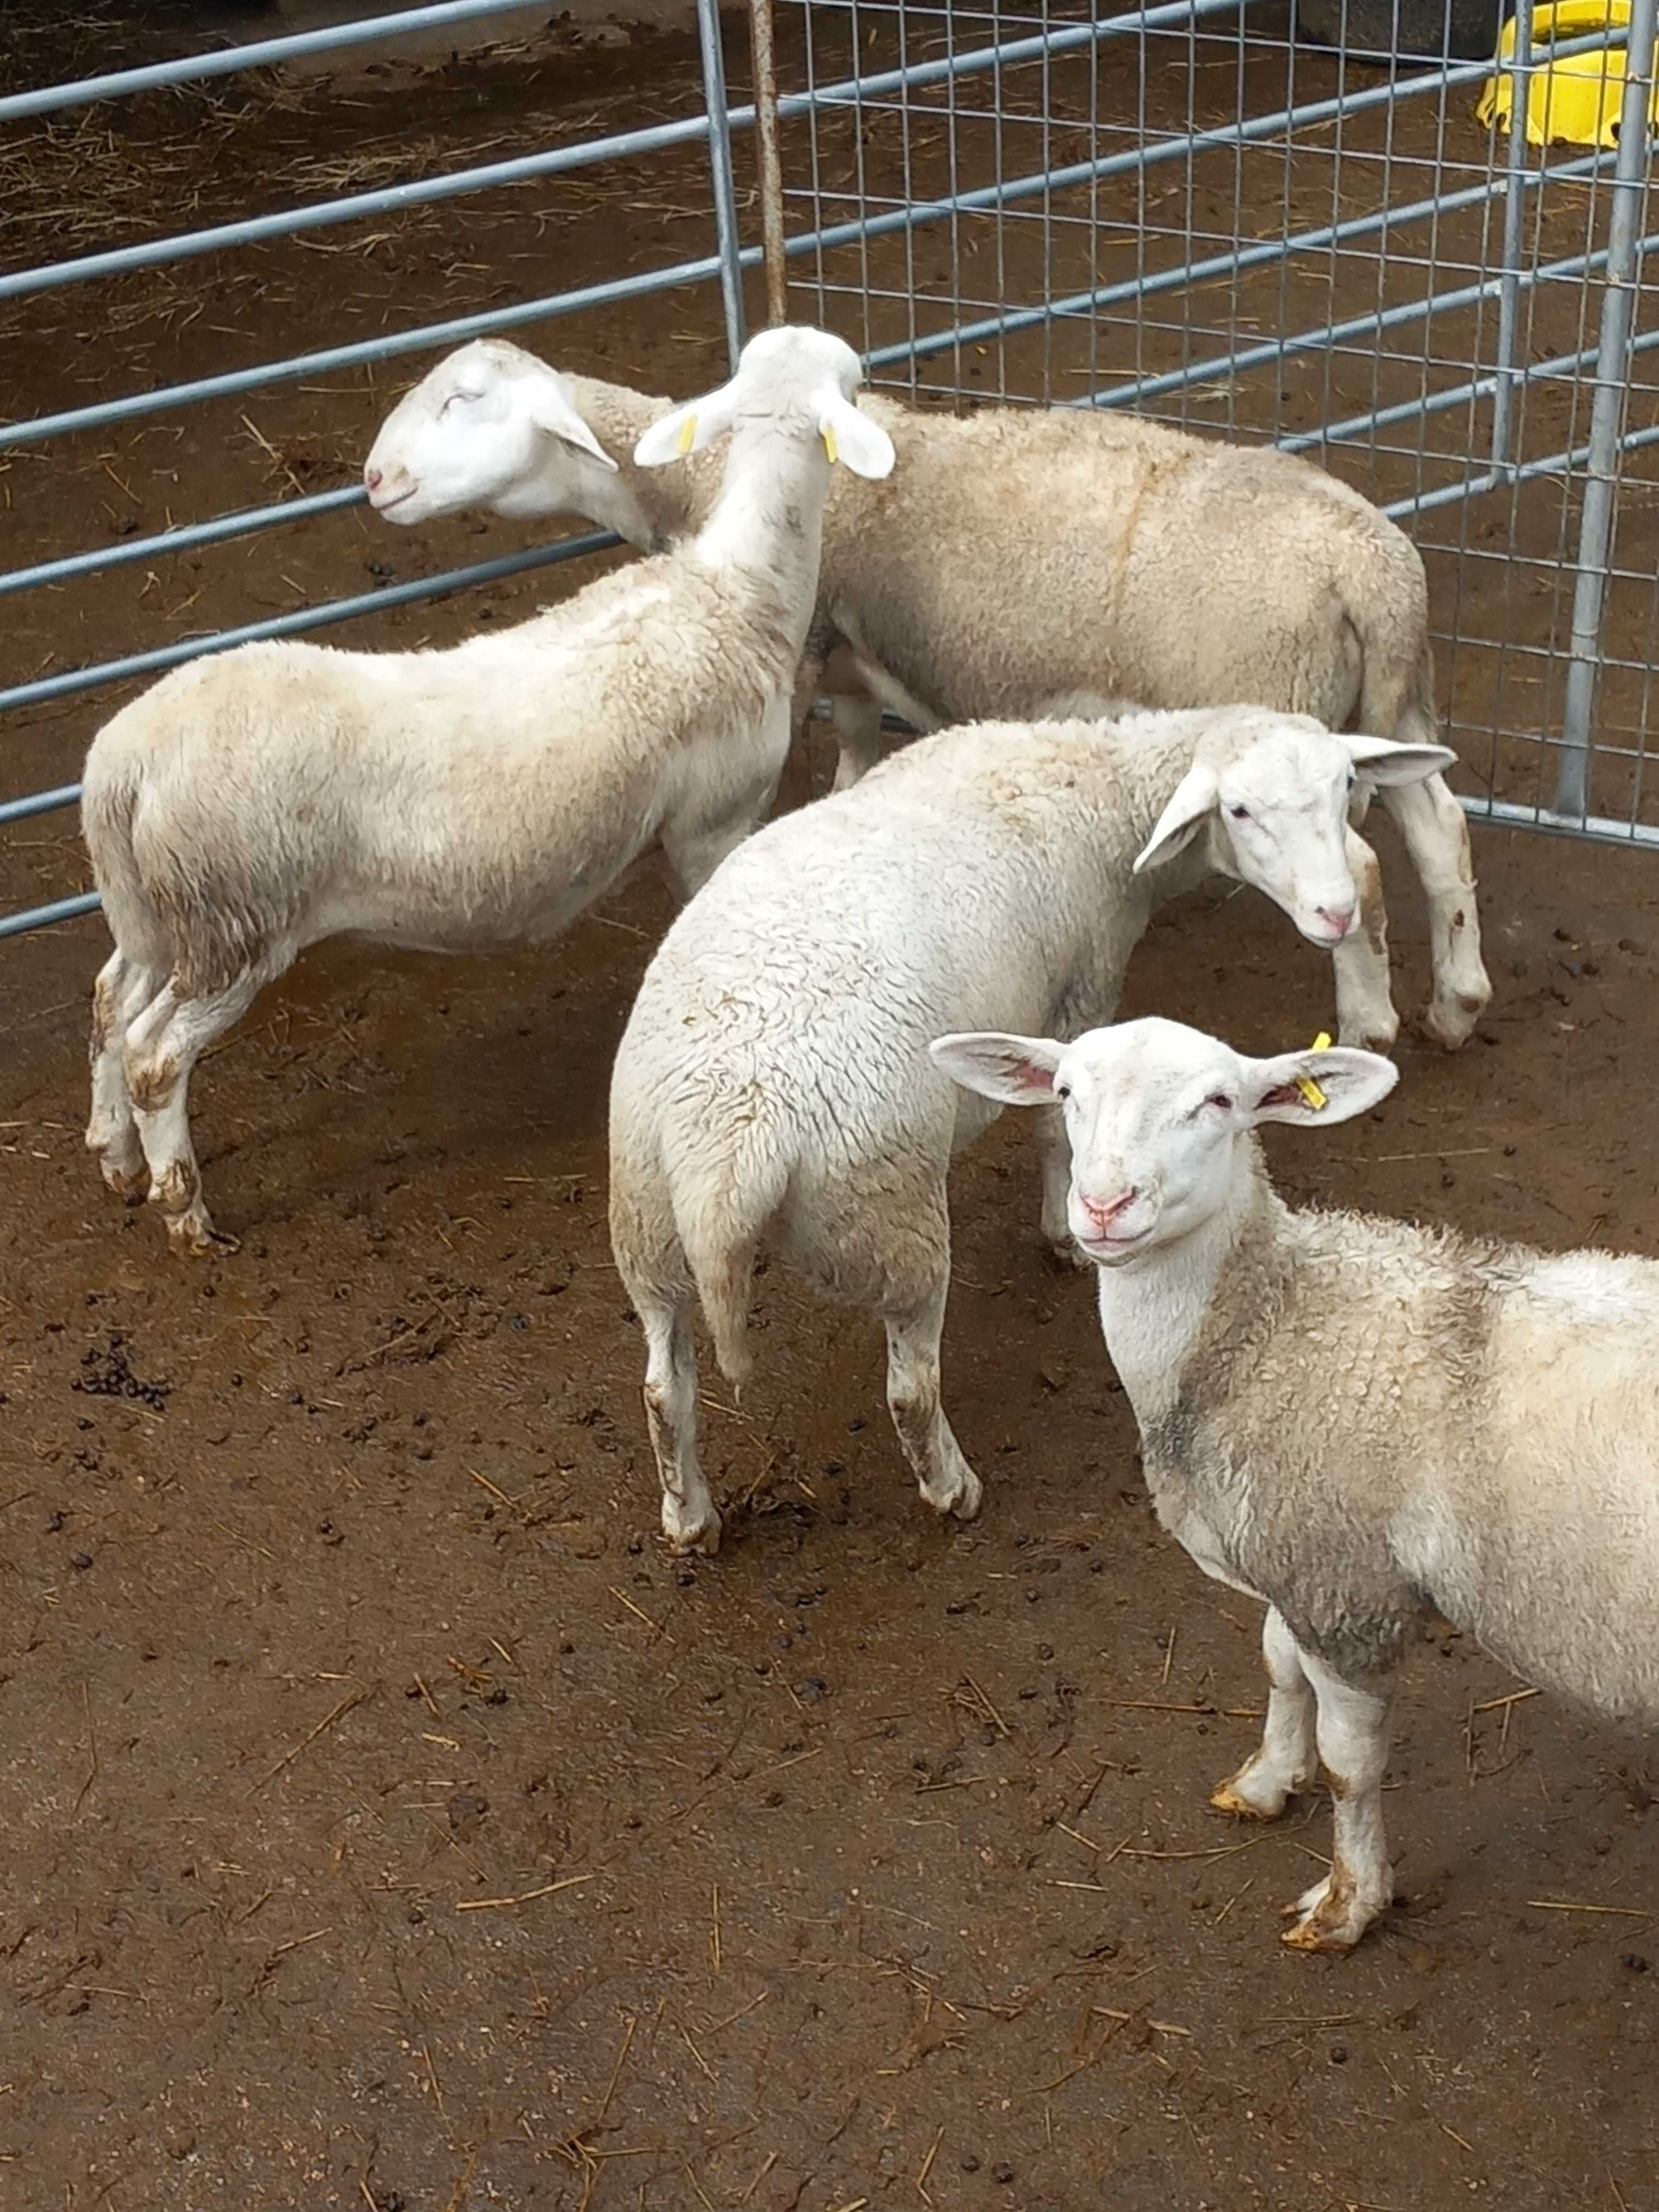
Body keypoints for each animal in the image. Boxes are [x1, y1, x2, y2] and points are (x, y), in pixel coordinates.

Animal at [81, 327, 898, 1265]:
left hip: (155, 910)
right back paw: (183, 1208)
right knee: (154, 1055)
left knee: (111, 1005)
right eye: (854, 383)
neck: (733, 587)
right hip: (235, 921)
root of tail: (124, 762)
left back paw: (114, 1157)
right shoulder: (713, 823)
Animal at [369, 334, 1504, 1053]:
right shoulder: (850, 651)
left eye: (465, 400)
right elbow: (860, 744)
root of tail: (1373, 565)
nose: (374, 482)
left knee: (1358, 868)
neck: (708, 477)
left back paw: (1368, 1022)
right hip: (1394, 702)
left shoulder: (808, 643)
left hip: (1276, 705)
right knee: (1440, 831)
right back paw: (1457, 1003)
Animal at [610, 695, 1451, 1557]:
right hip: (887, 1214)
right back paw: (952, 1488)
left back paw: (689, 1519)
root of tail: (728, 1156)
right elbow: (1055, 1129)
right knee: (910, 1388)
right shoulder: (1080, 991)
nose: (1337, 913)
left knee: (663, 1390)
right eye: (1241, 810)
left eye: (1346, 787)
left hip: (646, 1224)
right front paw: (1062, 1232)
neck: (1101, 786)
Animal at [929, 1013, 1659, 1955]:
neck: (1271, 1318)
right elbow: (1278, 1662)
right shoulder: (1291, 1542)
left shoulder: (1346, 1587)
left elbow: (1353, 1769)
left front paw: (1349, 1903)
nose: (1103, 1207)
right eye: (1064, 1093)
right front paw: (1269, 1778)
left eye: (1218, 1102)